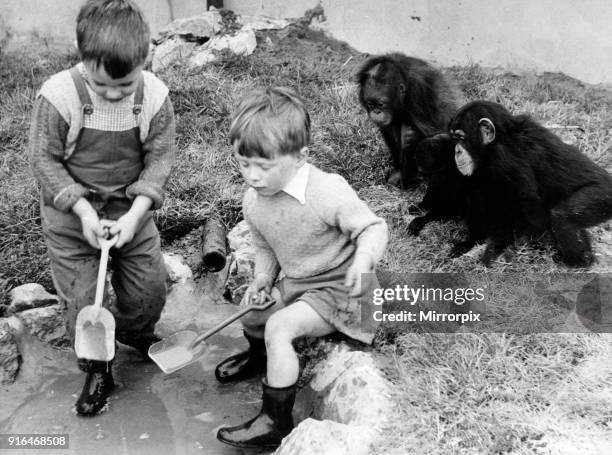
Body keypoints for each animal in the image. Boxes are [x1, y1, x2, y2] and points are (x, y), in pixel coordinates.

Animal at [356, 53, 462, 189]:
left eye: (380, 104)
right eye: (370, 104)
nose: (376, 112)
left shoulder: (418, 92)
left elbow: (429, 134)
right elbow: (390, 131)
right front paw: (397, 173)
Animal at [448, 100, 612, 268]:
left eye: (460, 137)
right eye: (454, 138)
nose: (456, 151)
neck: (495, 143)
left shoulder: (506, 160)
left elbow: (521, 205)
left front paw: (494, 251)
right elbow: (477, 194)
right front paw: (469, 242)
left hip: (601, 196)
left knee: (562, 216)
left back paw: (578, 262)